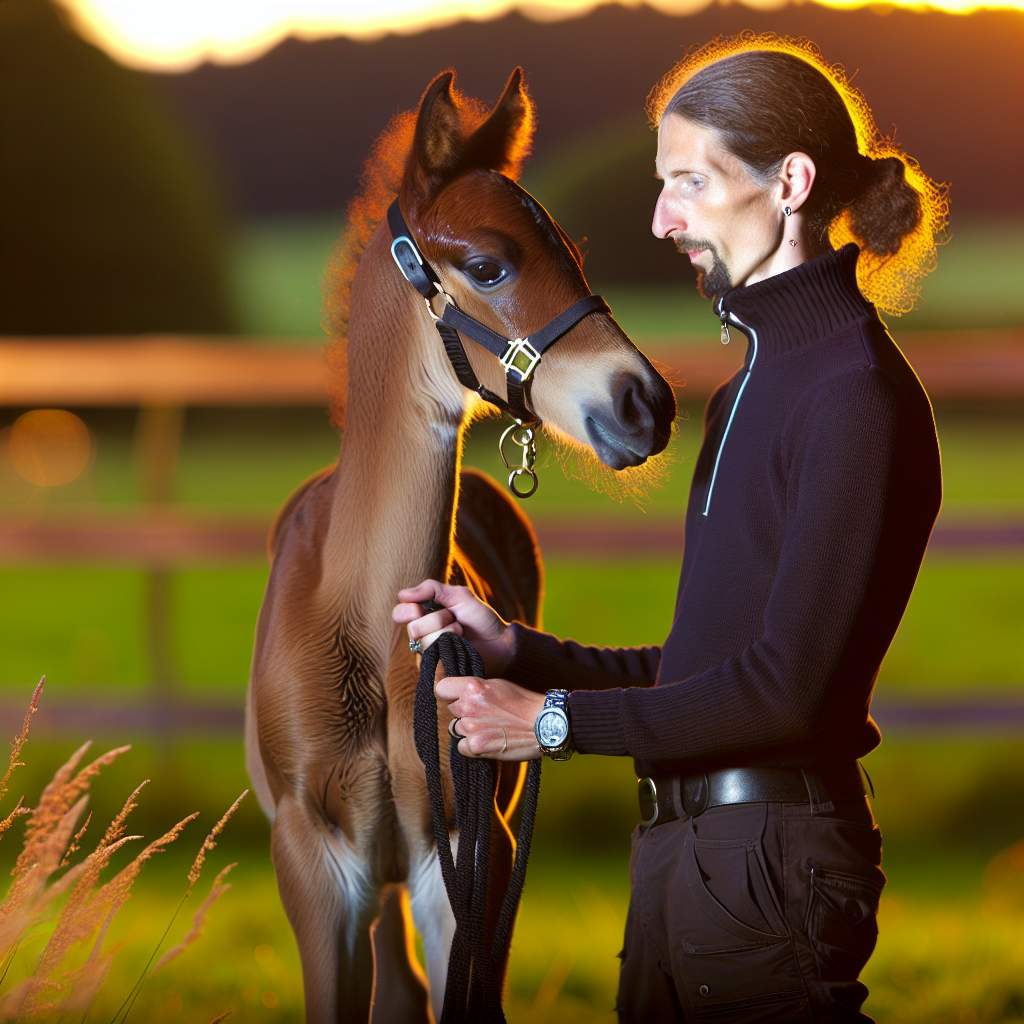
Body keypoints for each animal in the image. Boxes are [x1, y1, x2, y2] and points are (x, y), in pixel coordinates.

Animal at [244, 68, 679, 1019]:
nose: (645, 403)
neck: (367, 629)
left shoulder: (472, 854)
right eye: (488, 265)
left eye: (572, 253)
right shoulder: (313, 862)